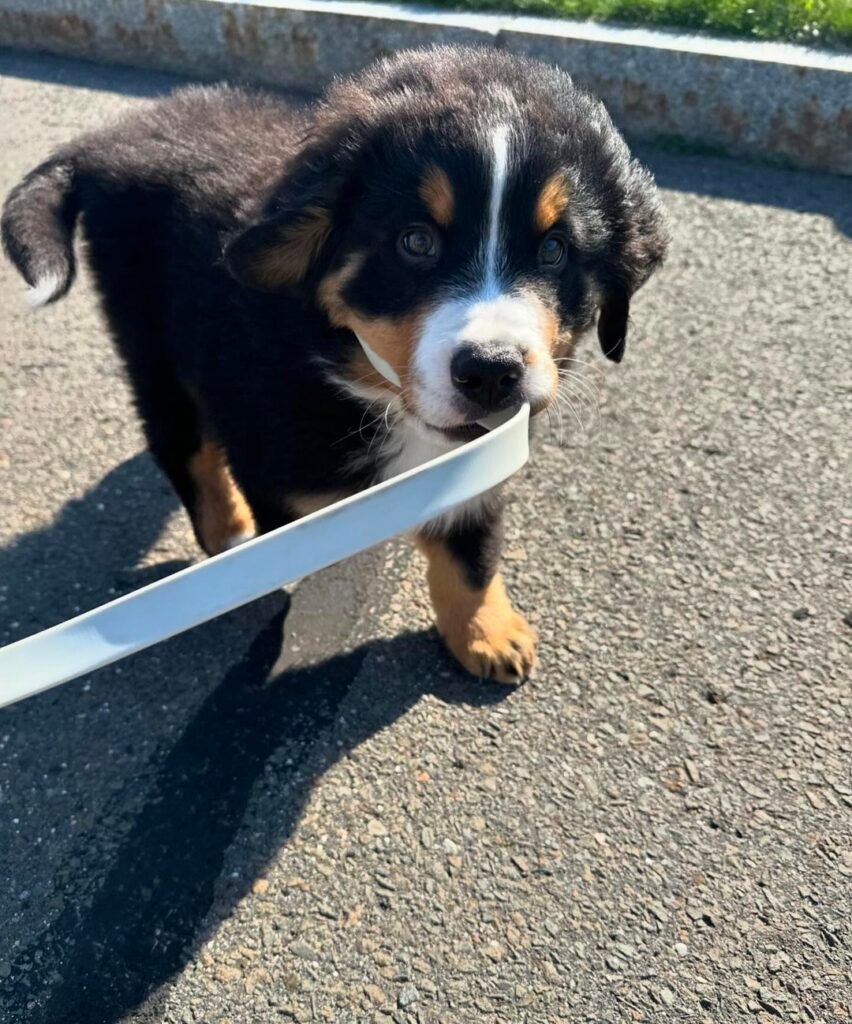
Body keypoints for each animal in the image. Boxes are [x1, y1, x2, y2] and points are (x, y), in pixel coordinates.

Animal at [3, 46, 667, 679]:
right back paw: (226, 533)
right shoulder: (277, 465)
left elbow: (472, 553)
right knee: (182, 445)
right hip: (149, 335)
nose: (491, 371)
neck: (365, 382)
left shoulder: (480, 461)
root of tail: (115, 135)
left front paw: (485, 633)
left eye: (555, 250)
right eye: (415, 242)